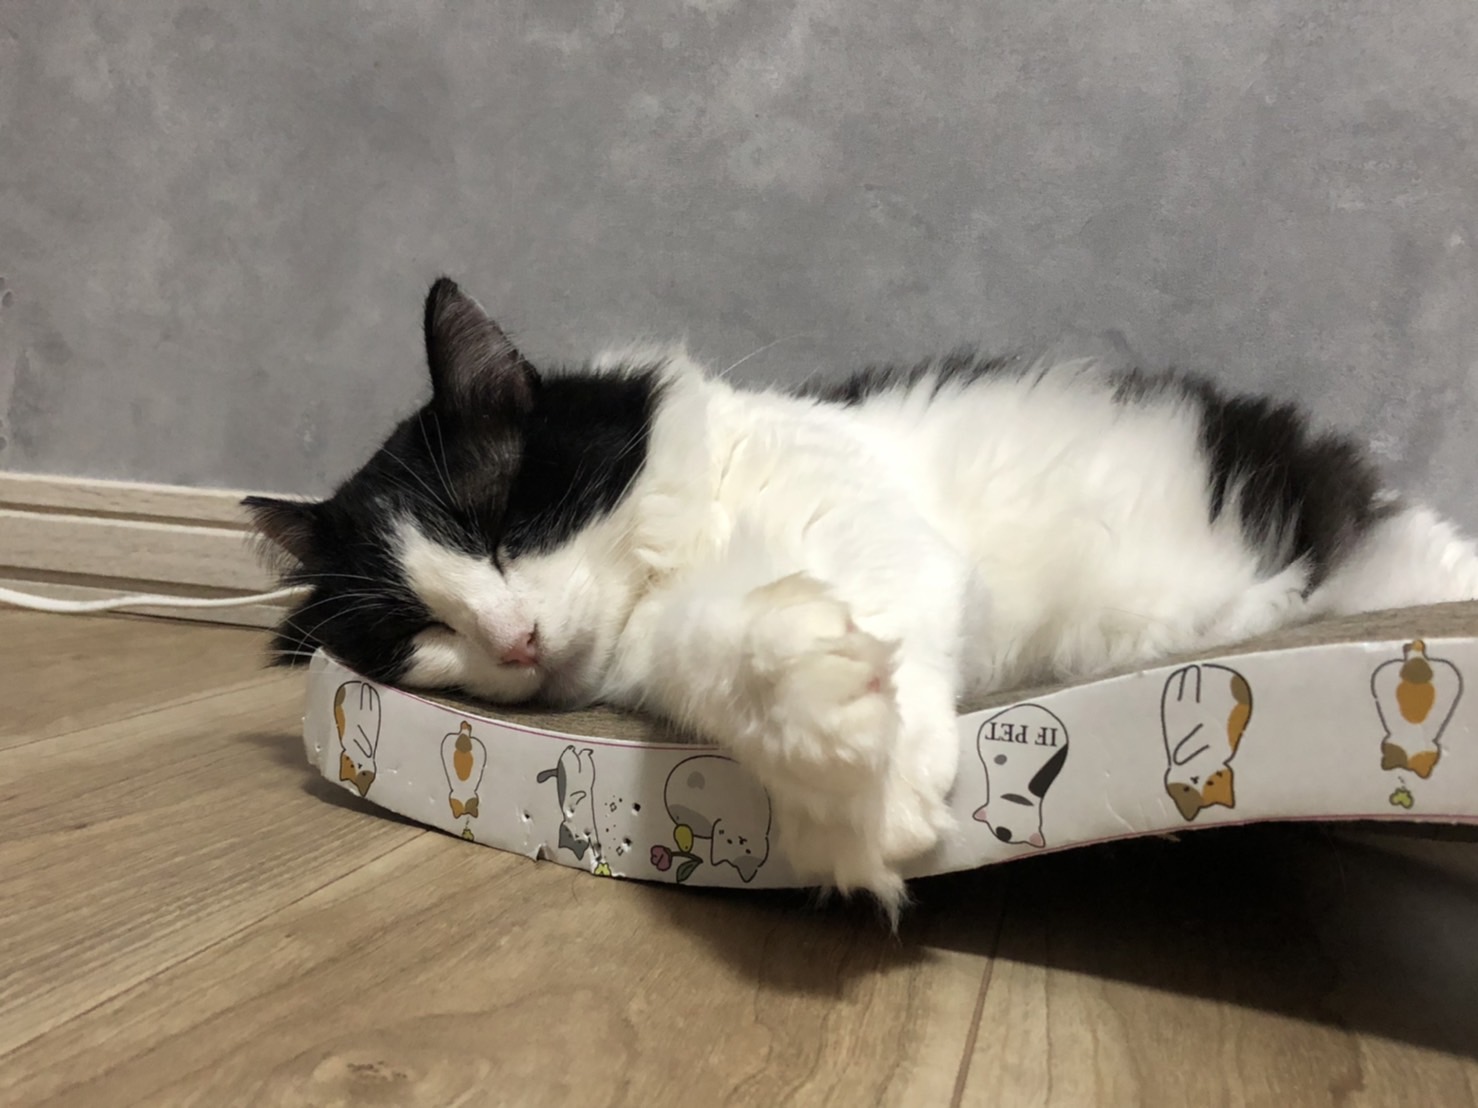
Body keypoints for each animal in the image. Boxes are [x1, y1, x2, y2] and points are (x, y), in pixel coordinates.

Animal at [247, 276, 1478, 916]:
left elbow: (883, 616)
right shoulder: (689, 634)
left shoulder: (866, 518)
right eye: (418, 629)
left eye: (502, 527)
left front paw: (877, 788)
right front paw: (842, 768)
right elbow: (748, 654)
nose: (515, 639)